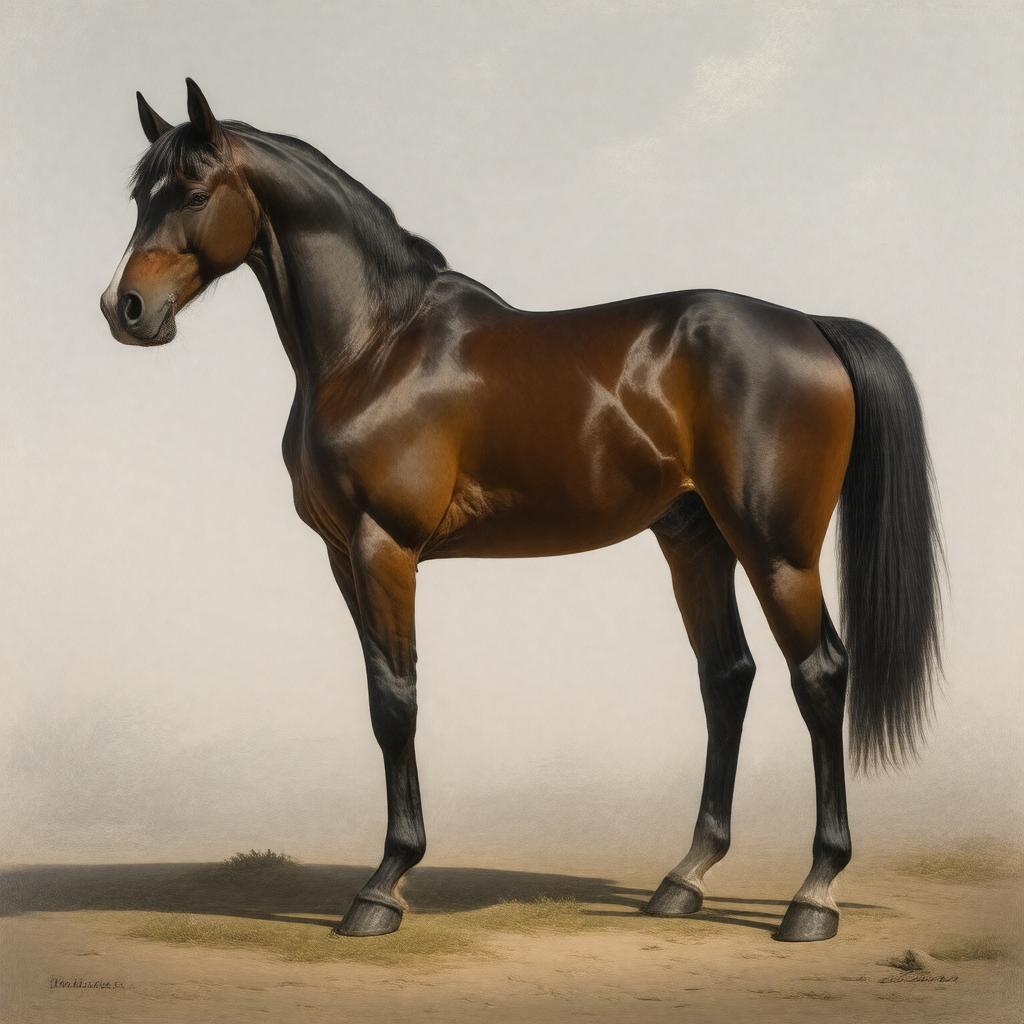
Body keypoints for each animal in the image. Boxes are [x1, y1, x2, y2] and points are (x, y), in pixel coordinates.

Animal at [101, 80, 943, 942]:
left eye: (193, 192)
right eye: (139, 196)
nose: (125, 308)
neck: (377, 345)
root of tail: (810, 326)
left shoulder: (383, 547)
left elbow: (396, 702)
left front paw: (384, 886)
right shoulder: (342, 554)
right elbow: (379, 696)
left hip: (777, 550)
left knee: (819, 676)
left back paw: (815, 894)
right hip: (695, 540)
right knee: (726, 676)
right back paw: (684, 878)